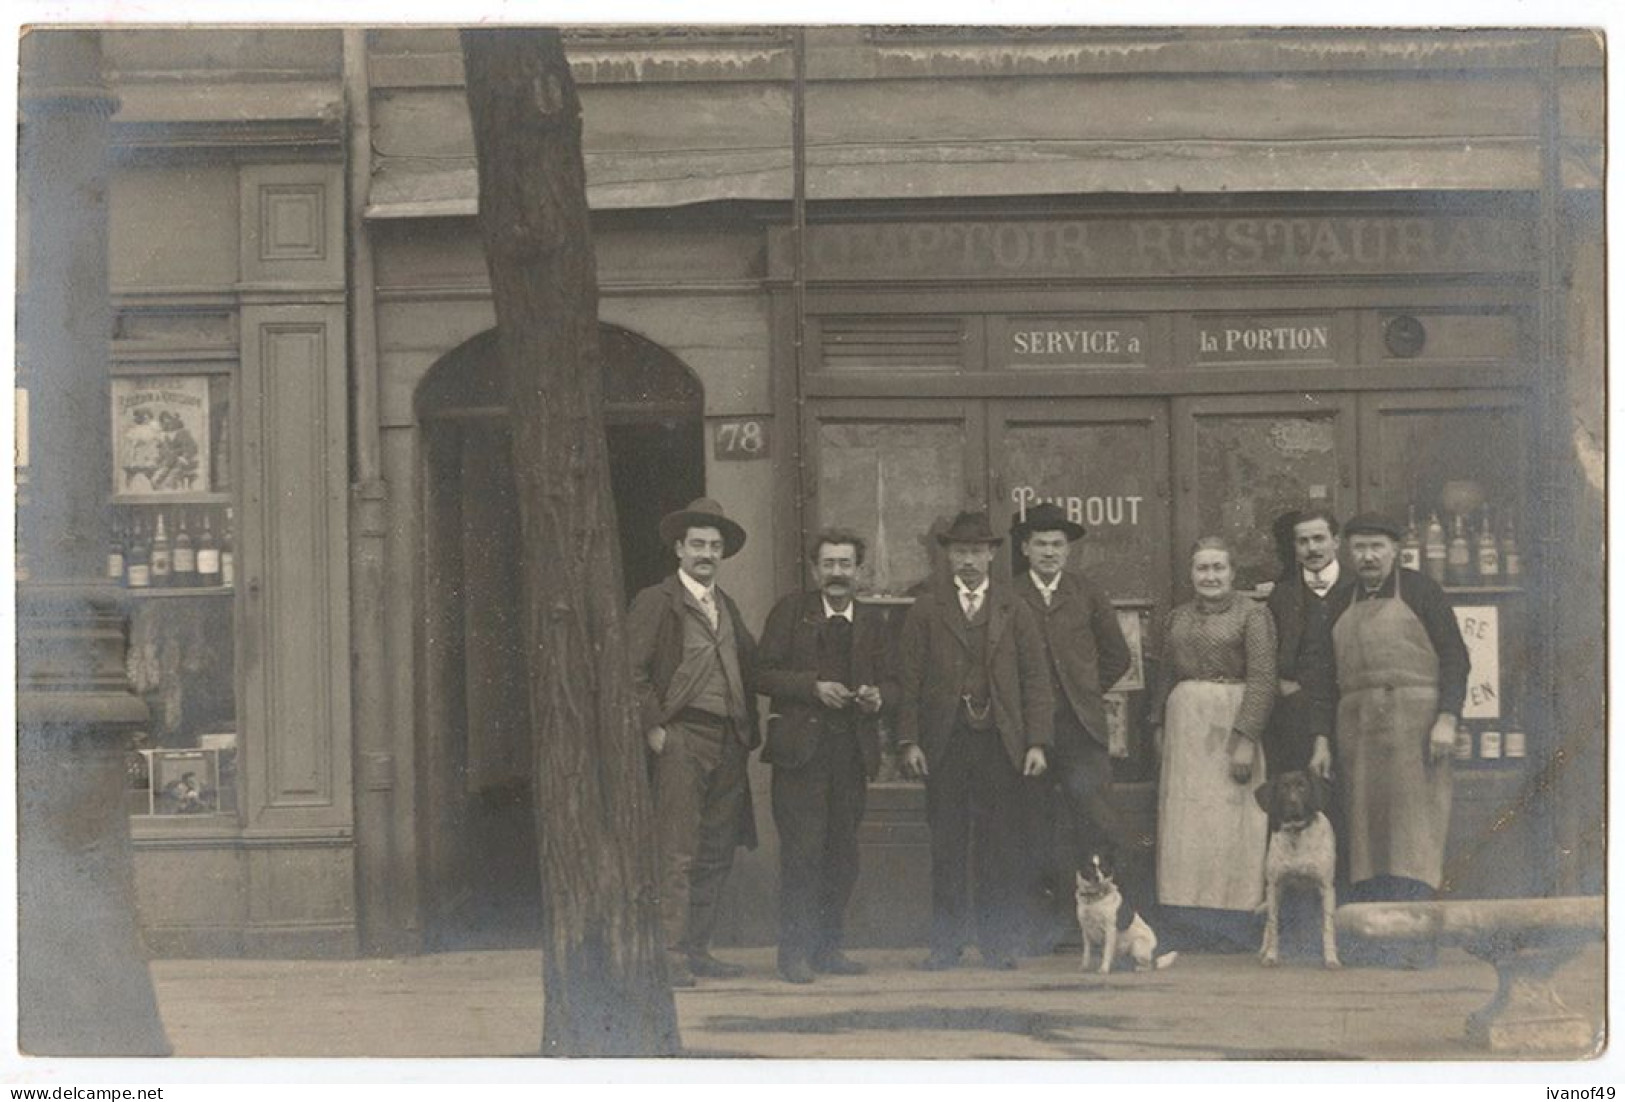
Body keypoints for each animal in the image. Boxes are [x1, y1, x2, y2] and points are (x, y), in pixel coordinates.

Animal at [1254, 773, 1345, 968]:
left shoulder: (1326, 888)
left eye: (1303, 787)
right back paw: (1264, 949)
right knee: (1269, 924)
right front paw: (1271, 955)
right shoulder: (1274, 886)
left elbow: (1328, 927)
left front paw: (1331, 958)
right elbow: (1273, 925)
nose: (1293, 802)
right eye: (1283, 788)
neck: (1296, 834)